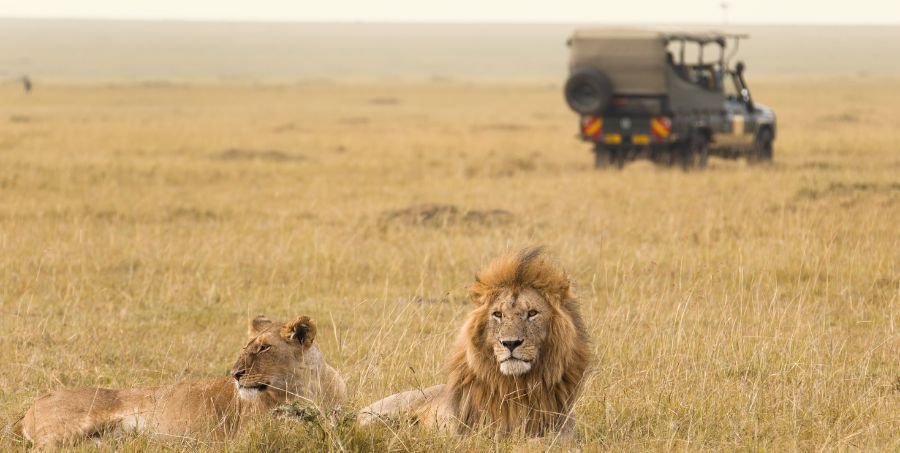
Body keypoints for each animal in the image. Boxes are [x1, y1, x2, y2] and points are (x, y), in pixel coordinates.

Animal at [13, 314, 347, 448]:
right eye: (246, 347)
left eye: (264, 348)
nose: (235, 374)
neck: (308, 389)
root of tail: (30, 407)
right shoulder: (247, 437)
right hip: (69, 428)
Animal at [359, 248, 591, 439]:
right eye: (498, 314)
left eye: (532, 313)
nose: (510, 343)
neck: (516, 386)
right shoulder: (467, 432)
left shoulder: (563, 429)